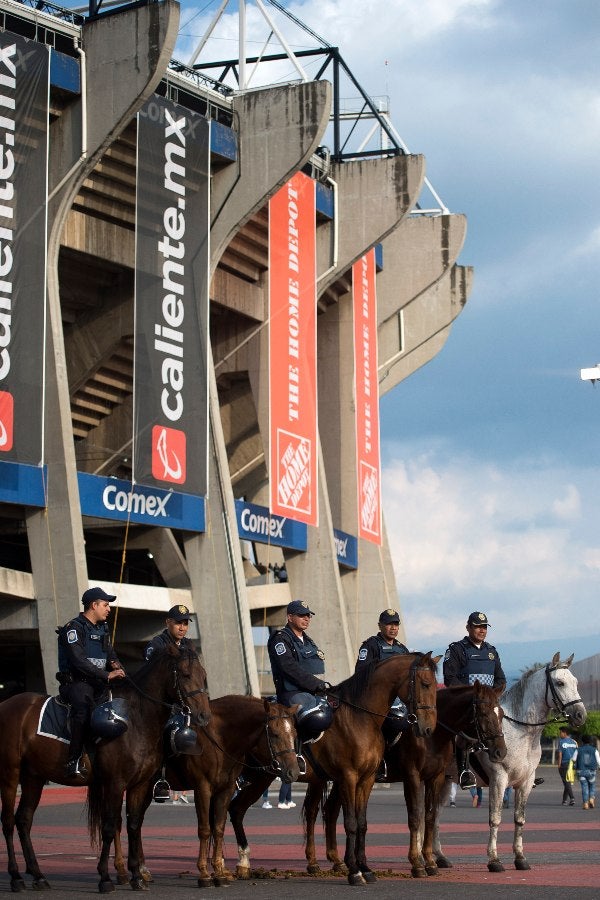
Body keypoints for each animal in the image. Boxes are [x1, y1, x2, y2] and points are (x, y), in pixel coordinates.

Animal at [0, 640, 211, 892]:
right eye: (186, 675)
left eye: (204, 675)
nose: (203, 716)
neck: (136, 719)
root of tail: (6, 704)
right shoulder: (114, 783)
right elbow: (110, 826)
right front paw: (105, 877)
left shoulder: (139, 785)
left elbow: (133, 825)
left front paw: (136, 876)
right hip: (10, 774)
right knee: (8, 821)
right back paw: (15, 877)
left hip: (34, 777)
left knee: (24, 820)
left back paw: (38, 875)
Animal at [111, 696, 298, 884]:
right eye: (274, 734)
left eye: (295, 734)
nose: (294, 772)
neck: (220, 739)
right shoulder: (203, 788)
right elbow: (205, 829)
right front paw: (204, 872)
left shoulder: (226, 789)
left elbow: (219, 828)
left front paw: (219, 871)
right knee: (118, 823)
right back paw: (122, 870)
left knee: (136, 823)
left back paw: (142, 870)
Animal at [227, 652, 438, 888]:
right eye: (425, 684)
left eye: (435, 685)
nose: (428, 728)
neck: (360, 719)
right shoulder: (348, 777)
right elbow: (351, 823)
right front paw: (355, 871)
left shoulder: (367, 779)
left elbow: (362, 823)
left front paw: (365, 868)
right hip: (256, 776)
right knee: (232, 809)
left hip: (267, 777)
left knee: (238, 809)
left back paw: (246, 864)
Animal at [316, 684, 508, 880]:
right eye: (483, 713)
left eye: (501, 714)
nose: (501, 751)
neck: (432, 735)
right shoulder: (412, 776)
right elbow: (415, 816)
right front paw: (416, 863)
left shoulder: (435, 777)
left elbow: (430, 816)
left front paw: (429, 861)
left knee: (330, 810)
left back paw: (338, 861)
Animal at [434, 652, 588, 872]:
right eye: (560, 683)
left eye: (575, 682)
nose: (580, 715)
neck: (521, 732)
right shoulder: (499, 779)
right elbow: (495, 818)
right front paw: (494, 860)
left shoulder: (525, 782)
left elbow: (519, 819)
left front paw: (520, 858)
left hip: (445, 781)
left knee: (435, 815)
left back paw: (439, 857)